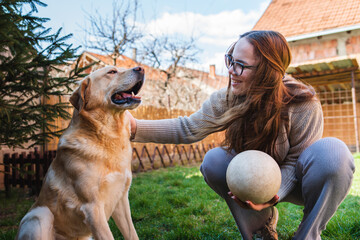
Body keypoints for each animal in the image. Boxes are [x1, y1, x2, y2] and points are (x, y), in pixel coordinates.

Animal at [16, 65, 143, 240]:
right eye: (112, 72)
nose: (141, 68)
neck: (107, 135)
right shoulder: (93, 208)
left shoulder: (122, 201)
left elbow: (132, 234)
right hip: (40, 215)